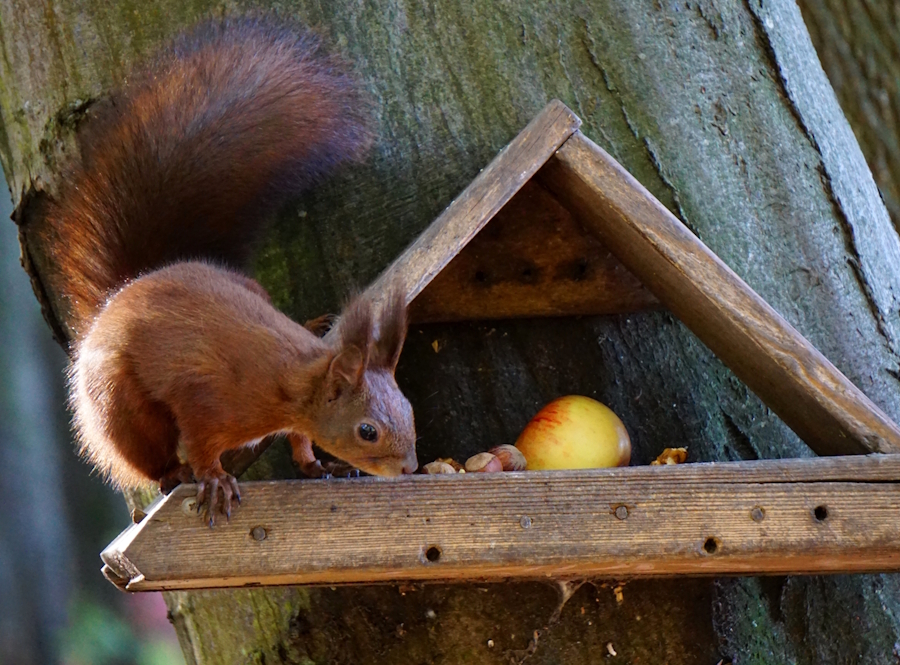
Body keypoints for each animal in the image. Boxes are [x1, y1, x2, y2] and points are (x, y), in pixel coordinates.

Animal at [37, 17, 418, 524]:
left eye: (409, 410)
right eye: (367, 431)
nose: (409, 468)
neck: (290, 382)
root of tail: (119, 295)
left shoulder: (295, 418)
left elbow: (301, 441)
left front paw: (319, 467)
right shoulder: (205, 401)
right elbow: (203, 446)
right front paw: (214, 480)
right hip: (120, 407)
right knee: (145, 455)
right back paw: (173, 473)